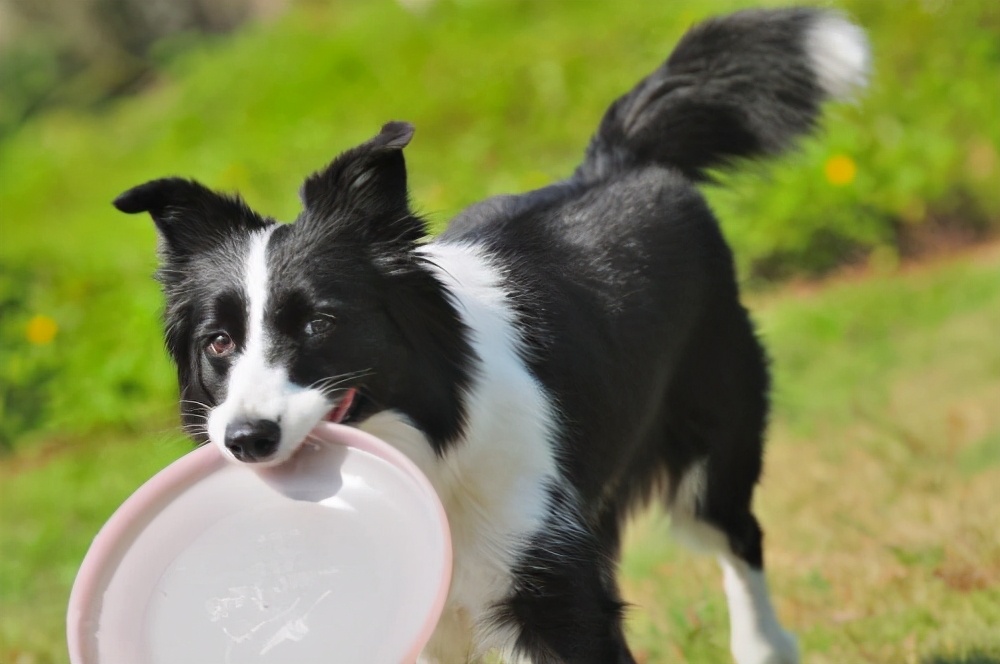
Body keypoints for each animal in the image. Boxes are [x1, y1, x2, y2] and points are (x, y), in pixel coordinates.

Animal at [115, 7, 868, 660]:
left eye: (320, 323)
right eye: (218, 343)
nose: (245, 440)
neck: (432, 443)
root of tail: (619, 160)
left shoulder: (551, 592)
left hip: (713, 440)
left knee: (739, 537)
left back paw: (766, 645)